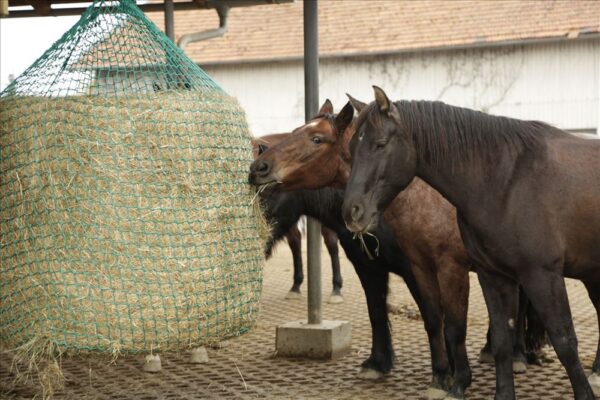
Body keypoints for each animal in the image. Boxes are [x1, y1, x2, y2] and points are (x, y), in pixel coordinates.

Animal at [342, 87, 600, 400]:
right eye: (351, 149)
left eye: (380, 144)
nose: (352, 212)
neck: (506, 182)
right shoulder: (494, 276)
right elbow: (501, 341)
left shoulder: (541, 275)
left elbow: (564, 341)